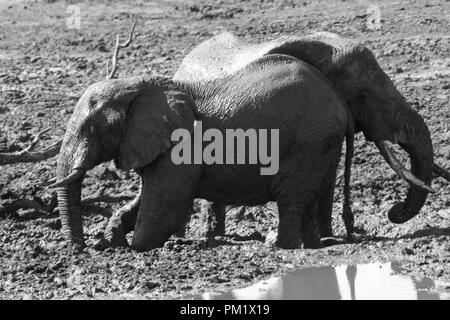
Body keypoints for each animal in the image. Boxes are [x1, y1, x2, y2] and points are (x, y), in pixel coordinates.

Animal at [51, 54, 356, 250]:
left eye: (91, 128)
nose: (80, 249)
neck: (138, 85)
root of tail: (341, 103)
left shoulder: (181, 143)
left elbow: (165, 204)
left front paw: (134, 247)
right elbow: (144, 198)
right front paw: (112, 242)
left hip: (308, 141)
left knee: (291, 197)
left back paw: (280, 246)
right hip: (321, 143)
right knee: (307, 196)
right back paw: (312, 246)